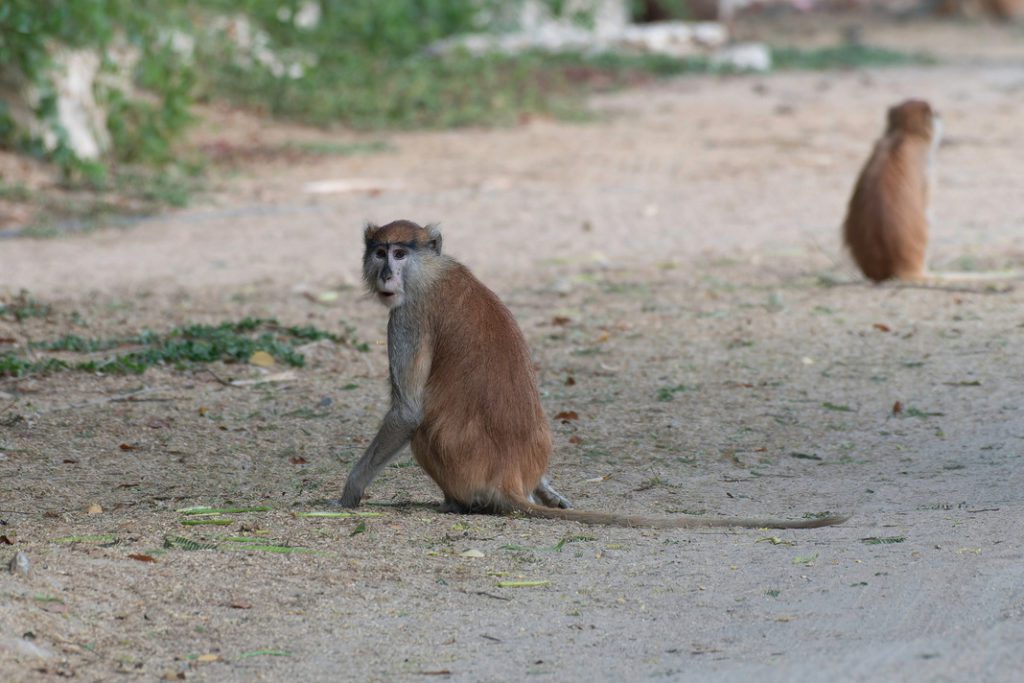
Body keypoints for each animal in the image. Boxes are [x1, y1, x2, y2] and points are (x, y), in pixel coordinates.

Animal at [337, 222, 847, 532]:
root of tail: (506, 479)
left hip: (450, 461)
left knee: (422, 430)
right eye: (379, 251)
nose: (386, 272)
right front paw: (551, 492)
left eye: (400, 253)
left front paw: (349, 492)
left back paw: (455, 502)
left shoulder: (406, 317)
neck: (432, 270)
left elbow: (407, 411)